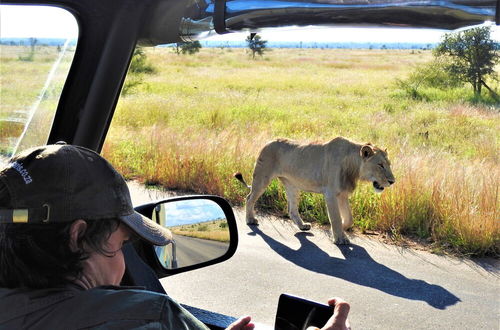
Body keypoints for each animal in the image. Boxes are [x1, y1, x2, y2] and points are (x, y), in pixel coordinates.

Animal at [234, 137, 394, 245]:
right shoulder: (331, 194)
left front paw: (338, 229)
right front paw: (340, 238)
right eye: (380, 165)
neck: (353, 166)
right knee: (249, 198)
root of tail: (267, 142)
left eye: (389, 164)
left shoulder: (342, 194)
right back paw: (250, 219)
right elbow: (335, 217)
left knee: (292, 209)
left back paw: (302, 226)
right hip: (263, 177)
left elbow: (349, 218)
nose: (392, 181)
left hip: (292, 185)